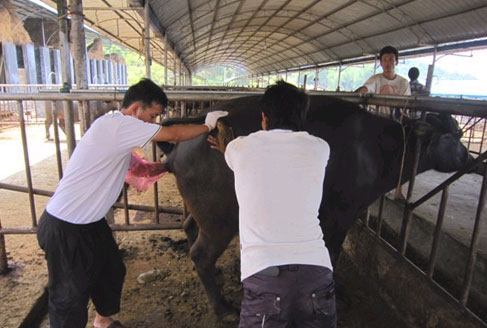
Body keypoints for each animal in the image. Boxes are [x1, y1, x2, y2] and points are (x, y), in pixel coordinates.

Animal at [155, 95, 468, 318]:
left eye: (459, 133)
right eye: (452, 136)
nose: (468, 156)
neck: (376, 149)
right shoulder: (341, 213)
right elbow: (333, 251)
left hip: (201, 210)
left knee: (189, 226)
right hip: (219, 218)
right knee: (201, 254)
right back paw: (224, 309)